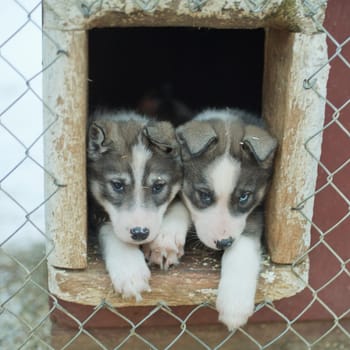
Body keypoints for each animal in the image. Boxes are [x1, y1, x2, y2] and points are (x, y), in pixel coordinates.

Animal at [89, 110, 190, 300]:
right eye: (117, 185)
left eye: (158, 186)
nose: (140, 233)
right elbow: (111, 229)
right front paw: (129, 270)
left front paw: (165, 238)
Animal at [176, 109, 278, 330]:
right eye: (204, 195)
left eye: (244, 197)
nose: (223, 243)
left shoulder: (256, 211)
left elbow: (242, 249)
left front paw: (235, 304)